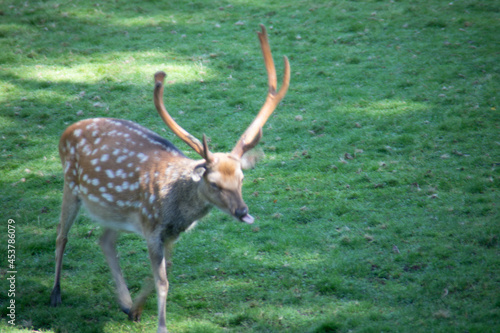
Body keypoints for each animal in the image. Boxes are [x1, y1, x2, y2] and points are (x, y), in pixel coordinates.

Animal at [48, 24, 292, 330]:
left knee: (105, 240)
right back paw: (56, 293)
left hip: (114, 211)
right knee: (62, 234)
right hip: (70, 183)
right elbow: (162, 282)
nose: (242, 211)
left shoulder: (170, 234)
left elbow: (164, 272)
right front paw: (161, 326)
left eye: (241, 178)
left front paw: (137, 310)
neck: (176, 209)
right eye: (214, 183)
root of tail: (66, 130)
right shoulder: (152, 226)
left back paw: (125, 302)